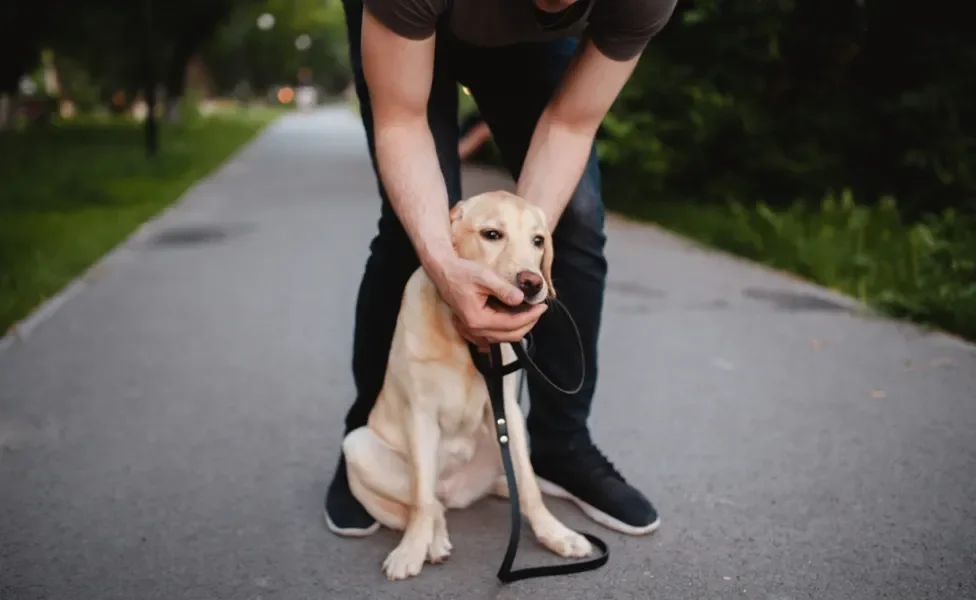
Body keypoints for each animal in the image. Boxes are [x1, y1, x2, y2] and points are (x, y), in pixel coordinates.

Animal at [344, 190, 596, 580]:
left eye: (538, 241)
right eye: (492, 234)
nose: (532, 282)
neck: (469, 343)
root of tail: (456, 493)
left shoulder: (508, 412)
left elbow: (528, 485)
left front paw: (556, 534)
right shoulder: (420, 414)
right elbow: (421, 498)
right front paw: (411, 550)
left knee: (499, 484)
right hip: (356, 446)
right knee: (428, 503)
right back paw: (433, 541)